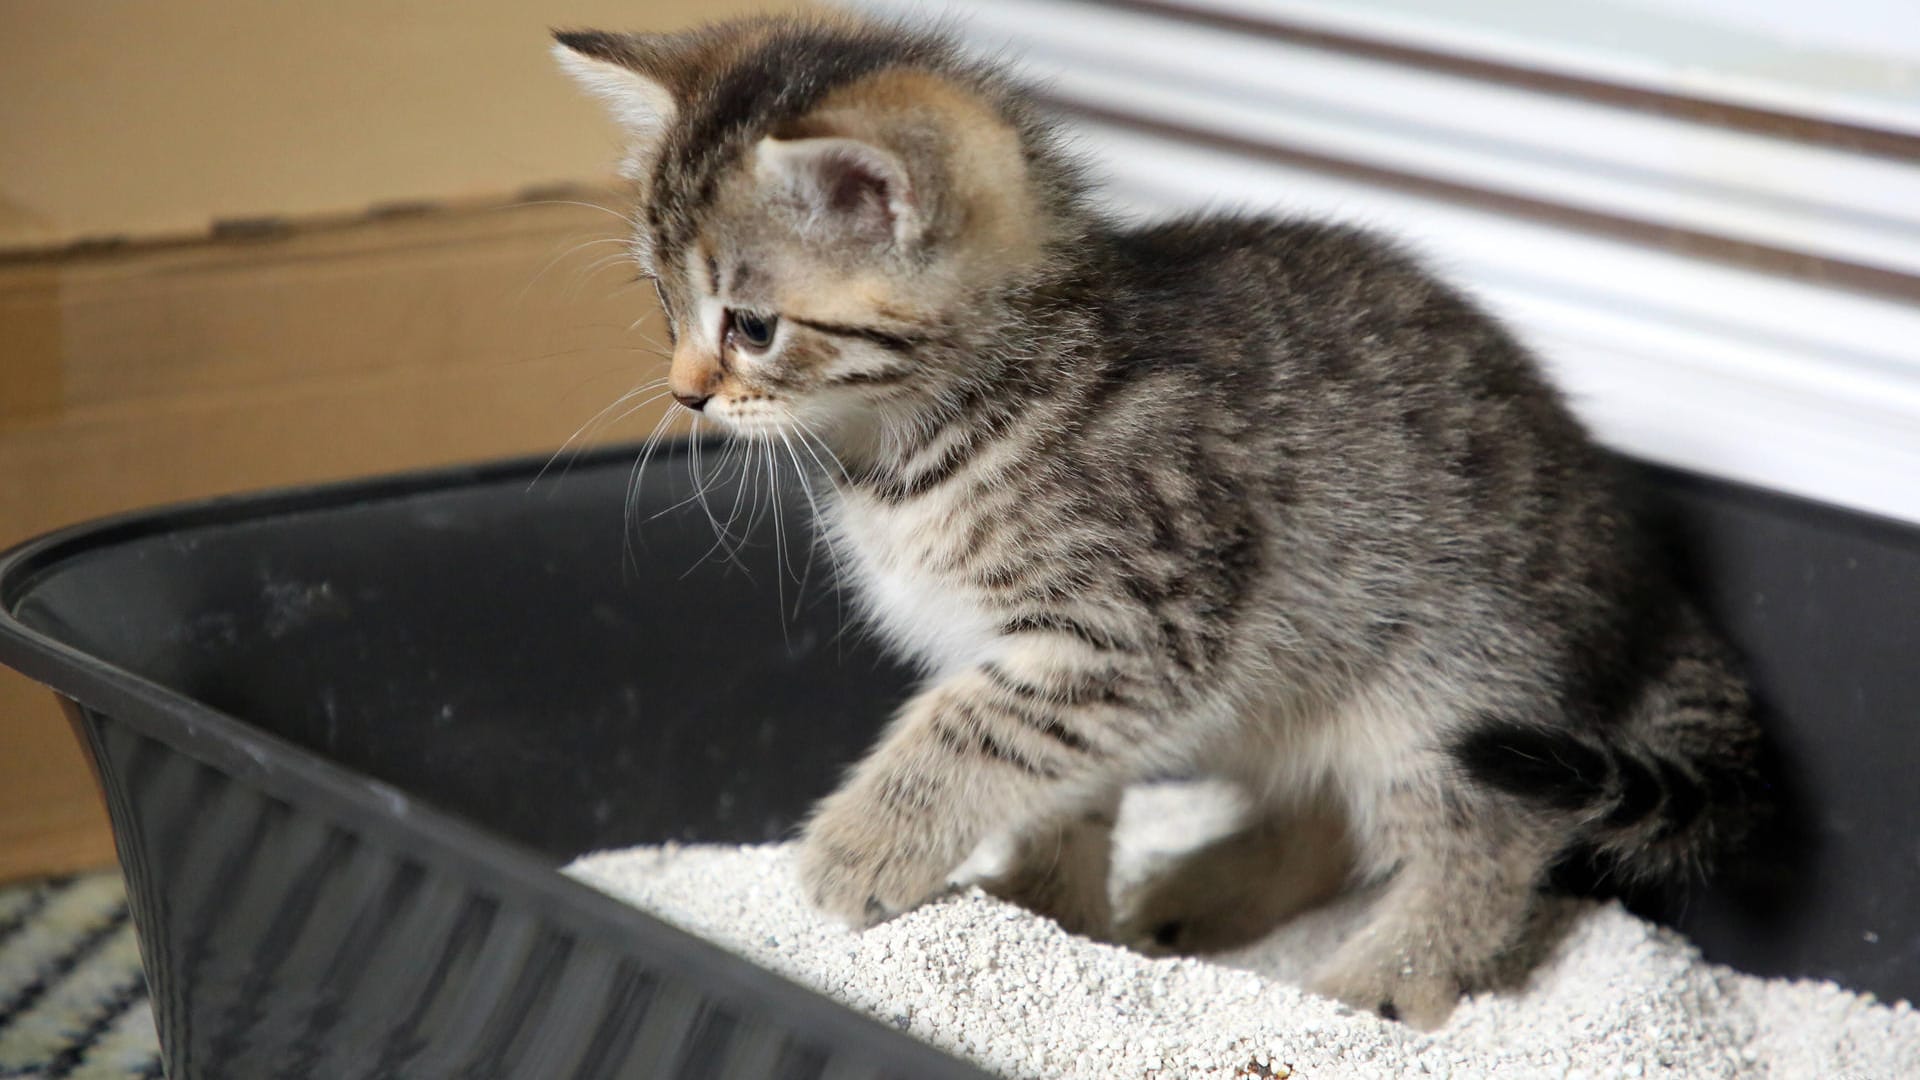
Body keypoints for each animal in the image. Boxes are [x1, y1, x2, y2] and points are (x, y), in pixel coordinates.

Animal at [552, 16, 1758, 1022]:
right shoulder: (1074, 669)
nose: (687, 394)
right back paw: (1209, 893)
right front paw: (1045, 911)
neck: (949, 425)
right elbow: (1052, 776)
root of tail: (1649, 583)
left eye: (752, 326)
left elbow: (969, 728)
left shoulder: (1136, 624)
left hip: (1451, 691)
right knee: (1327, 820)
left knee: (1491, 840)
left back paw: (1373, 987)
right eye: (664, 303)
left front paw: (858, 848)